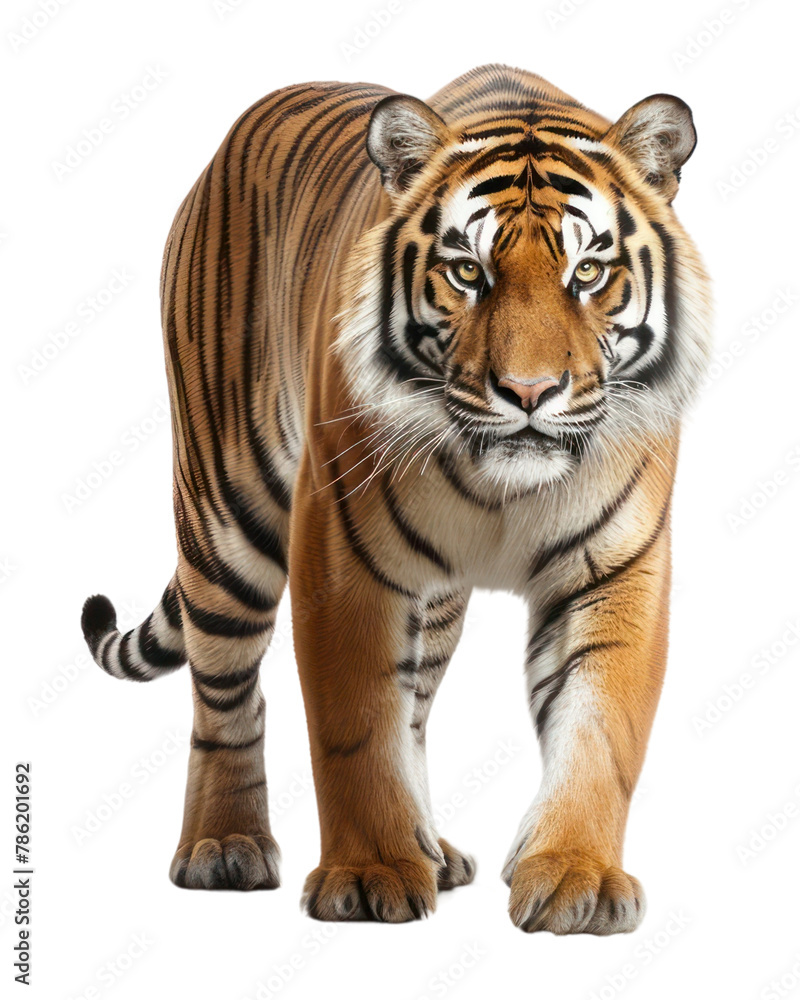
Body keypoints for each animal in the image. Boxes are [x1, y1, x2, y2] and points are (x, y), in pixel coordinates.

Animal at [81, 63, 711, 934]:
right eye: (467, 272)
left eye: (587, 272)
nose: (529, 392)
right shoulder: (343, 559)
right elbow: (352, 727)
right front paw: (370, 874)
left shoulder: (615, 569)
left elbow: (599, 728)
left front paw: (575, 877)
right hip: (227, 518)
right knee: (226, 696)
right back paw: (224, 847)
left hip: (433, 602)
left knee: (411, 709)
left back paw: (431, 848)